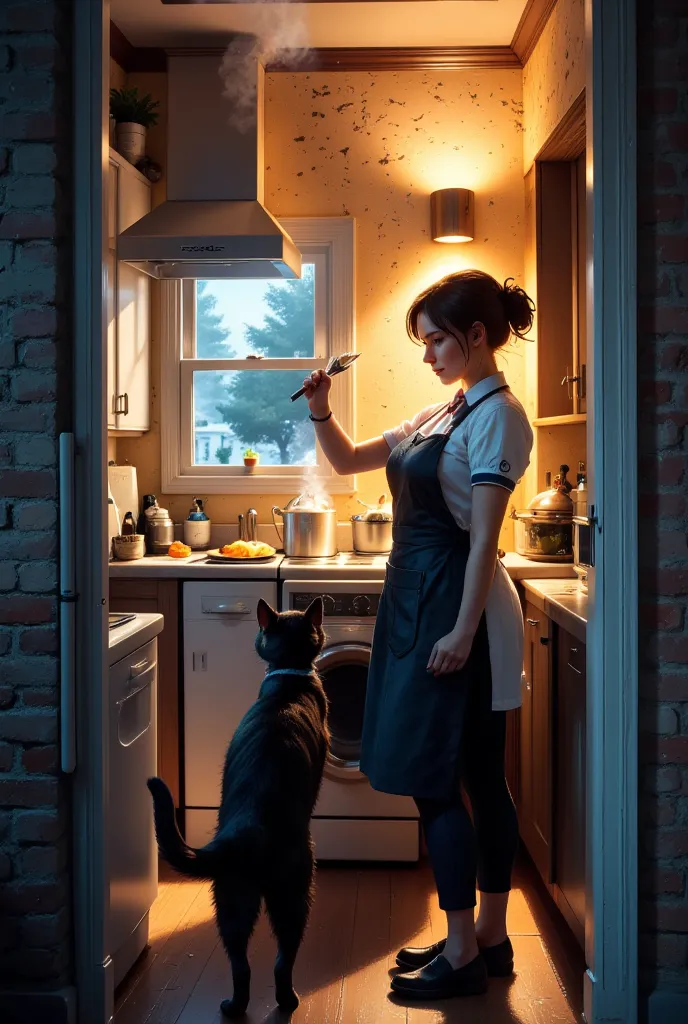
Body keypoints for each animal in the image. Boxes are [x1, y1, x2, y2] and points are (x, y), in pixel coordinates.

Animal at [147, 598, 327, 1019]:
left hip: (230, 898)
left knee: (241, 964)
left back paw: (234, 1007)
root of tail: (247, 833)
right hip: (294, 890)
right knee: (282, 959)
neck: (289, 679)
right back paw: (287, 1001)